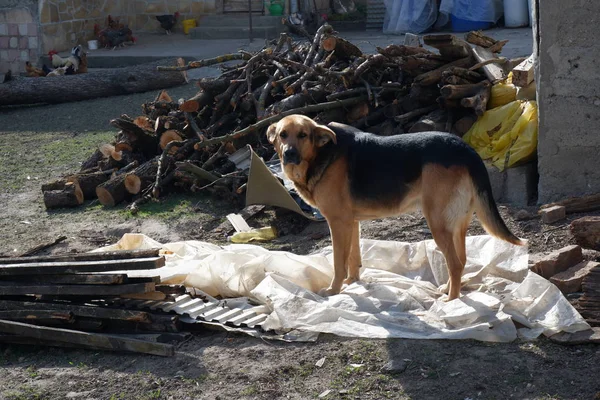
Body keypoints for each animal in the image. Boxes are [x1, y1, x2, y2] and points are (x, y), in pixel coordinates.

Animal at [268, 113, 524, 300]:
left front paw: (334, 290)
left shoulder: (338, 223)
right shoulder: (351, 223)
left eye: (303, 135)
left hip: (437, 222)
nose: (289, 154)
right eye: (283, 135)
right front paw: (353, 283)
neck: (322, 153)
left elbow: (339, 261)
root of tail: (467, 150)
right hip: (456, 223)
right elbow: (353, 258)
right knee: (461, 260)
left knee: (455, 263)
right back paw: (451, 290)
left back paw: (451, 300)